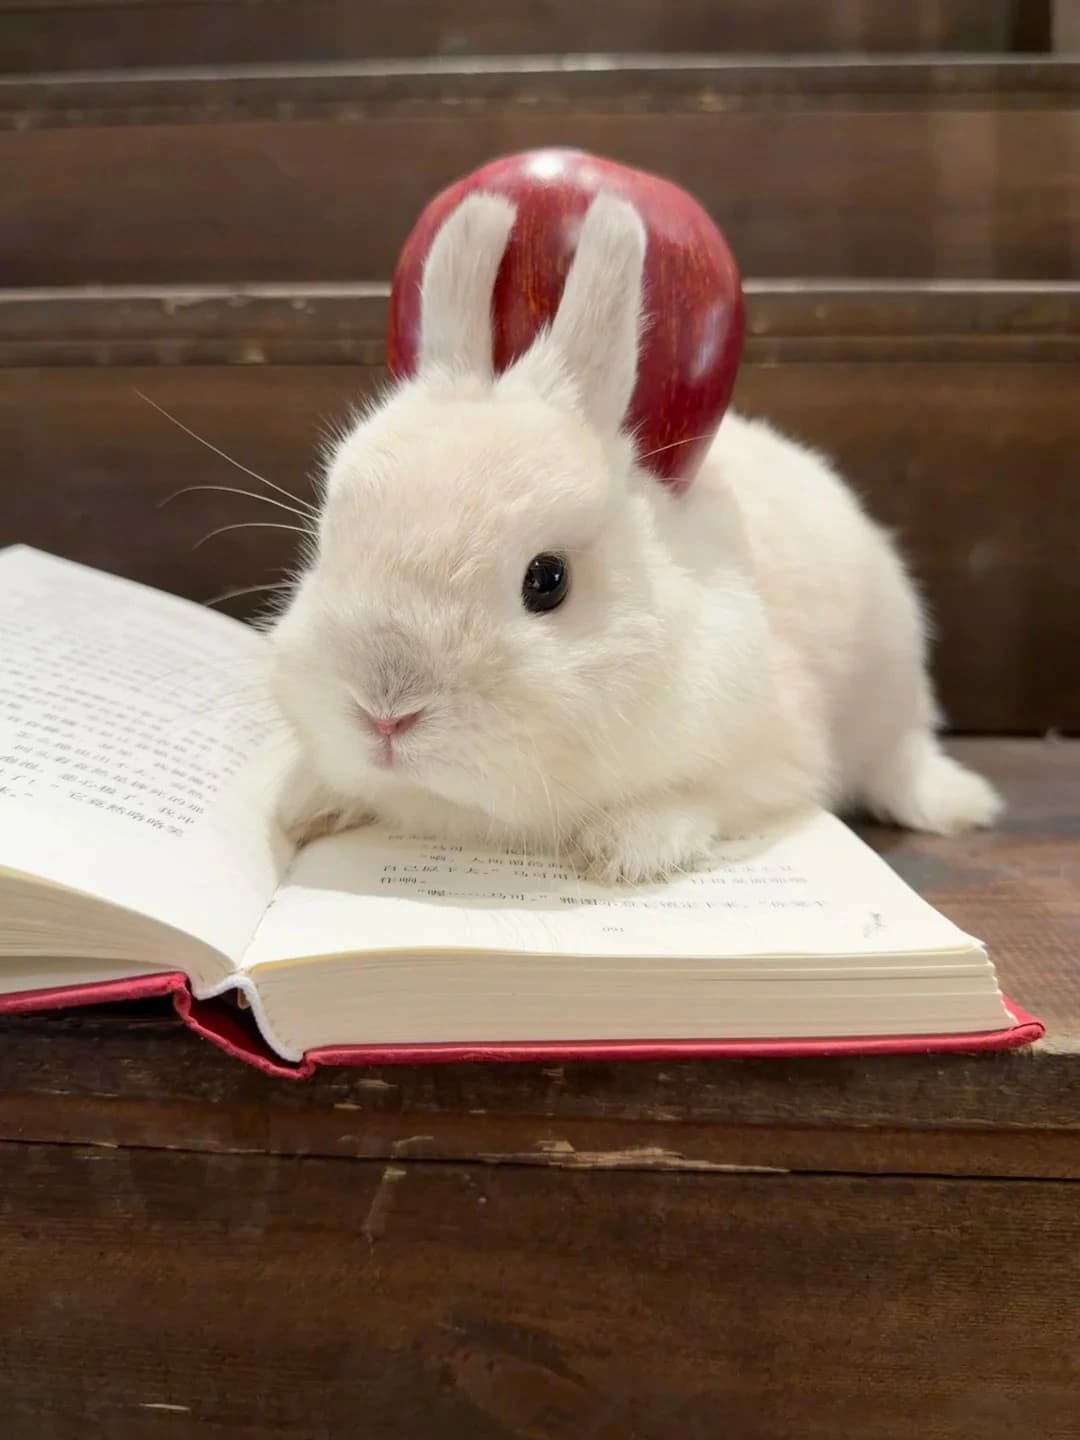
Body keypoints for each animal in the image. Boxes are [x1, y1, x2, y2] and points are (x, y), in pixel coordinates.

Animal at [270, 190, 1001, 884]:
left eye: (548, 580)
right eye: (329, 543)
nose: (384, 714)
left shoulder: (774, 750)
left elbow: (707, 794)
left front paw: (627, 847)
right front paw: (301, 805)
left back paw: (960, 804)